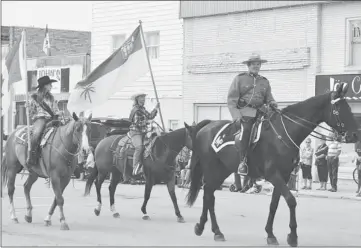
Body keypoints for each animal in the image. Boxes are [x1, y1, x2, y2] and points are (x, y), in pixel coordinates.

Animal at [184, 82, 358, 245]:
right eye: (338, 108)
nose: (354, 135)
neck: (284, 133)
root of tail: (207, 125)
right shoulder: (274, 174)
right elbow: (291, 200)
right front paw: (292, 236)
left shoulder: (284, 176)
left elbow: (274, 204)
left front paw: (270, 234)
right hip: (212, 169)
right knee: (208, 194)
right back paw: (212, 230)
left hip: (222, 170)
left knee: (209, 194)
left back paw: (207, 228)